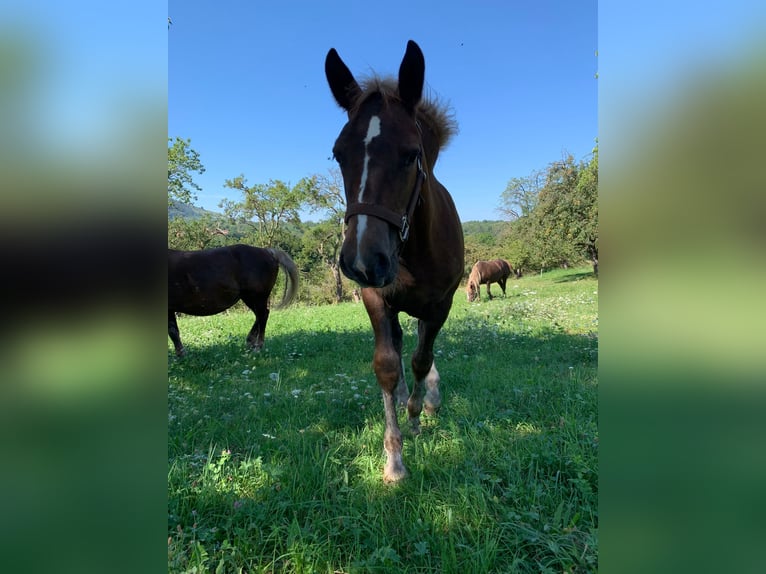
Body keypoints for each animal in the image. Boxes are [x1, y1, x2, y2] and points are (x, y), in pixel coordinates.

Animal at [168, 244, 298, 357]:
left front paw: (181, 354)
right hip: (249, 298)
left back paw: (257, 347)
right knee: (260, 315)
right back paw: (250, 341)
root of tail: (267, 251)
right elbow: (174, 331)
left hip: (257, 296)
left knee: (263, 315)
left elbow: (172, 332)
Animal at [325, 40, 464, 482]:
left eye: (410, 155)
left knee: (421, 347)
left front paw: (417, 416)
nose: (362, 261)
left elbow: (422, 359)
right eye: (338, 155)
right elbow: (388, 365)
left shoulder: (440, 305)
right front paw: (394, 459)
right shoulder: (376, 298)